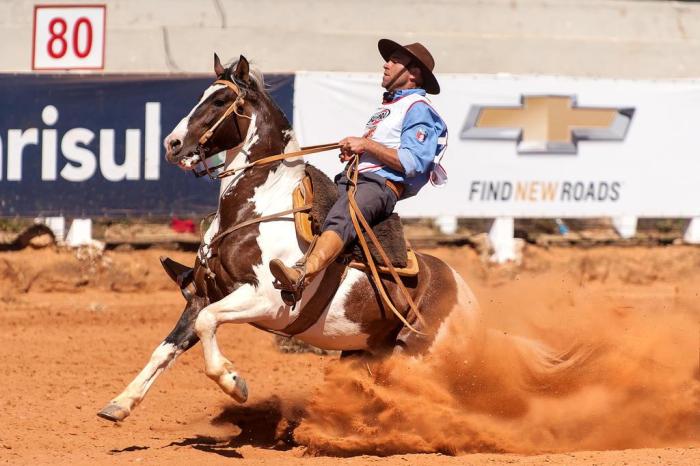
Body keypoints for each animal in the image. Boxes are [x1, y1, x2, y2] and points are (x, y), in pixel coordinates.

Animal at [95, 54, 484, 422]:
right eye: (202, 95)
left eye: (220, 100)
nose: (172, 143)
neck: (259, 207)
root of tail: (465, 294)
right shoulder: (203, 295)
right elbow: (166, 347)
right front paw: (120, 403)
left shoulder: (266, 301)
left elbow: (208, 323)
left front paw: (233, 382)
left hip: (417, 353)